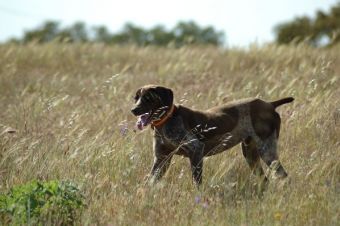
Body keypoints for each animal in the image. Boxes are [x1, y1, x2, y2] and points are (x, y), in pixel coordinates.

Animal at [131, 85, 294, 187]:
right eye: (136, 98)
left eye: (148, 98)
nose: (133, 110)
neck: (167, 121)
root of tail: (269, 104)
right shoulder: (161, 159)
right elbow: (151, 180)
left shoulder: (196, 150)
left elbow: (197, 181)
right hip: (251, 154)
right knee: (265, 180)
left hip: (267, 151)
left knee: (284, 176)